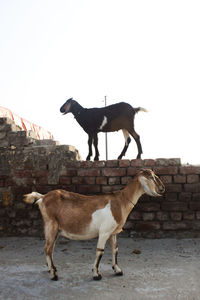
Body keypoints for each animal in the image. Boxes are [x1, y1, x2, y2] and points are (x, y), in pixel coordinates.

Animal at [23, 169, 164, 282]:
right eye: (152, 177)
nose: (162, 188)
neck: (120, 201)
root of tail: (43, 197)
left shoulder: (112, 233)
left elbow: (115, 249)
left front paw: (118, 270)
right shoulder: (104, 232)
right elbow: (100, 251)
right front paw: (96, 274)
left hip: (54, 229)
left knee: (50, 248)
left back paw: (51, 268)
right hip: (50, 225)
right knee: (47, 248)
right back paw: (54, 274)